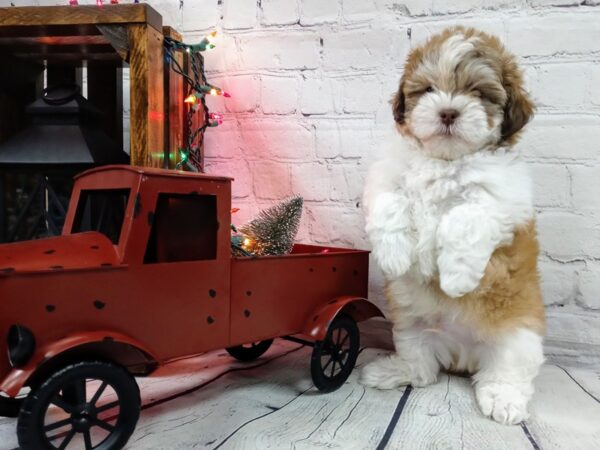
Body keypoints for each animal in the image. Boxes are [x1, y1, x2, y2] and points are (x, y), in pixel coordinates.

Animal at [360, 28, 544, 426]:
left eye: (477, 92)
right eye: (429, 89)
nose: (448, 111)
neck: (444, 161)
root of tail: (463, 356)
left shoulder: (501, 200)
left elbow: (463, 219)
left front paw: (456, 278)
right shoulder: (387, 175)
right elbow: (389, 203)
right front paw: (394, 256)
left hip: (519, 336)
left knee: (508, 370)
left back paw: (504, 397)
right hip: (411, 327)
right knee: (422, 369)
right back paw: (394, 371)